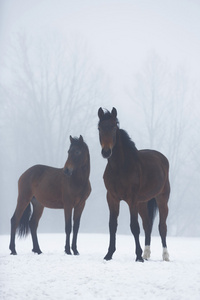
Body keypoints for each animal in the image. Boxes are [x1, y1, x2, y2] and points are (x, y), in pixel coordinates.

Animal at [97, 107, 170, 260]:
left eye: (114, 127)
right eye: (99, 128)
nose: (106, 152)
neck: (120, 167)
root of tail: (162, 158)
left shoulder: (132, 200)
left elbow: (134, 227)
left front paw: (138, 256)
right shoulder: (112, 198)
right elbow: (112, 225)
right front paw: (109, 254)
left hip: (162, 198)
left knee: (162, 227)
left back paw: (165, 255)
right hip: (142, 203)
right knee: (147, 225)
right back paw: (146, 254)